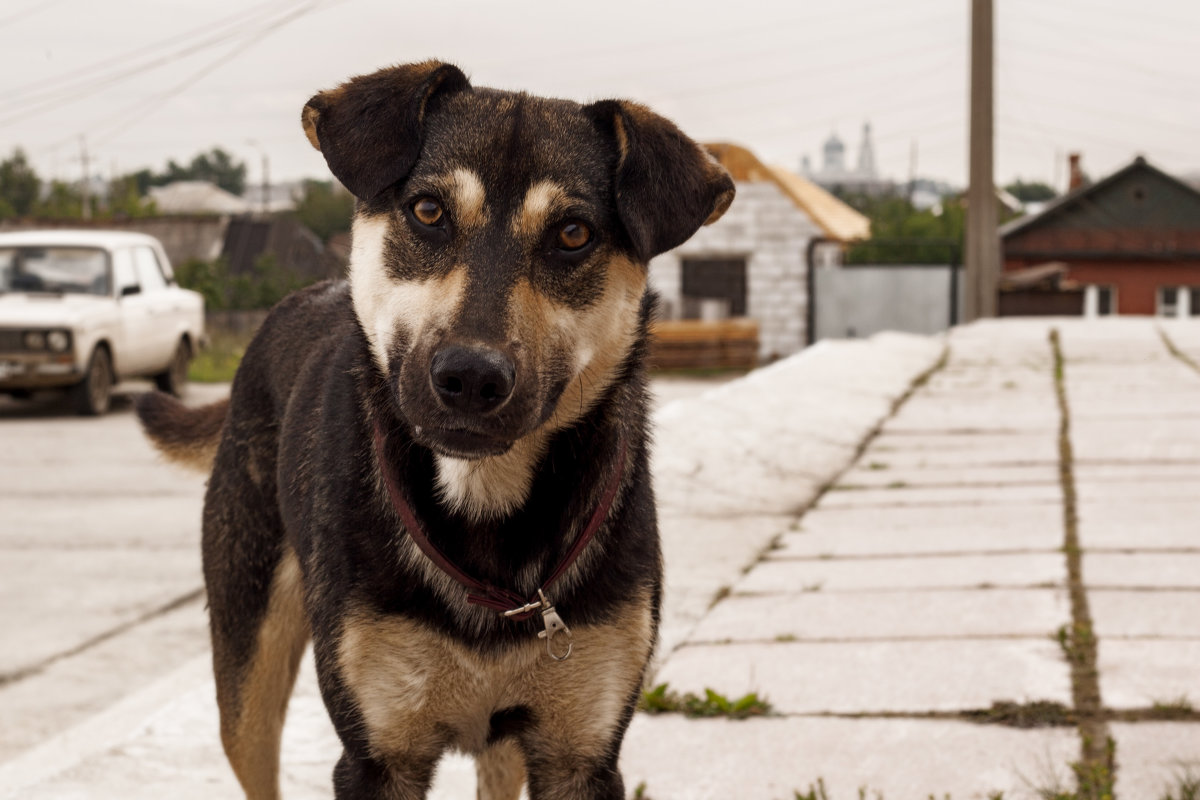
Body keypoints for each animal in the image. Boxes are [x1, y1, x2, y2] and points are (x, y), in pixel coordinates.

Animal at [131, 59, 729, 796]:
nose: (471, 377)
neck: (485, 499)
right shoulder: (377, 755)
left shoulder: (581, 753)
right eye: (428, 211)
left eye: (573, 234)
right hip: (247, 664)